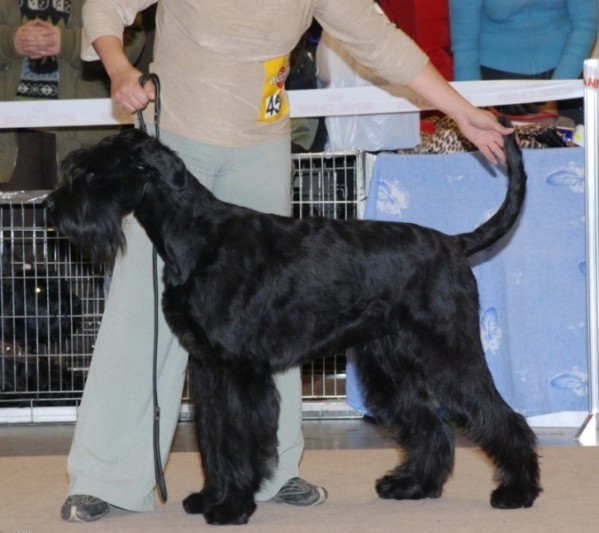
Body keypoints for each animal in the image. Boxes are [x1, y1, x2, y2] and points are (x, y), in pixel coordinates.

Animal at [45, 119, 541, 525]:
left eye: (92, 173)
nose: (51, 208)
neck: (198, 237)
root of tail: (455, 244)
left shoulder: (239, 369)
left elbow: (239, 438)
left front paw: (231, 506)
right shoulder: (207, 368)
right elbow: (214, 438)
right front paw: (210, 497)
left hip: (450, 353)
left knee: (502, 416)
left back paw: (517, 492)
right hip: (390, 362)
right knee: (430, 424)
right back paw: (412, 485)